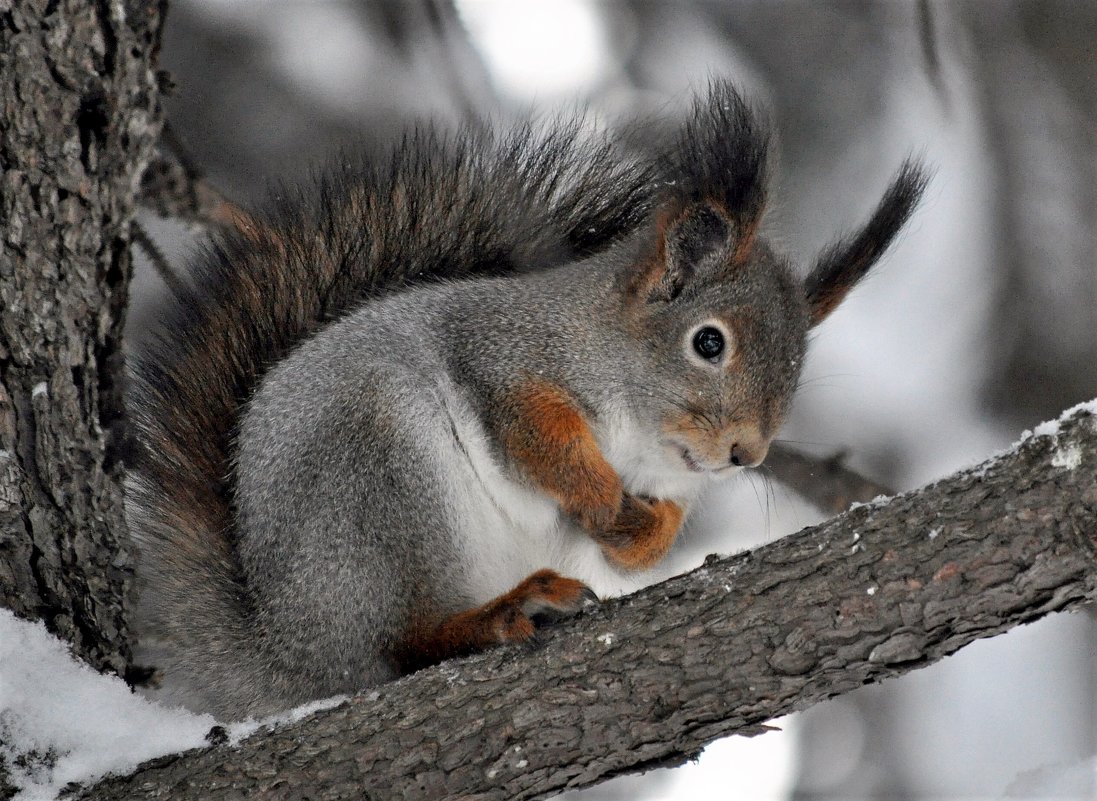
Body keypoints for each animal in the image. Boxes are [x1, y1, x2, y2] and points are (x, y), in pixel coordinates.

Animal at [126, 82, 925, 719]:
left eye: (797, 367)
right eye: (708, 343)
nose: (746, 453)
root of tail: (287, 648)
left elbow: (655, 531)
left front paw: (639, 533)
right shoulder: (502, 359)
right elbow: (536, 434)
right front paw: (597, 496)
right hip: (380, 480)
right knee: (401, 645)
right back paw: (507, 611)